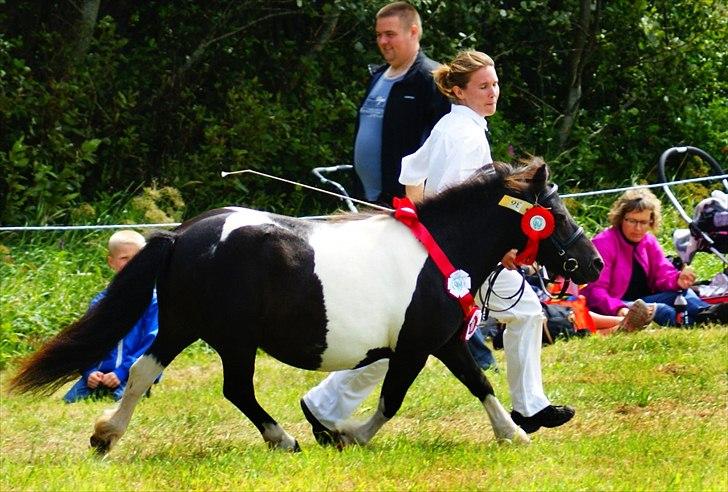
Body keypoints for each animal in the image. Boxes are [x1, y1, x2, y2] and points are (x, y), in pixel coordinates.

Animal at [9, 159, 604, 454]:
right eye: (554, 212)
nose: (593, 264)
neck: (443, 249)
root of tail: (181, 235)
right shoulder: (420, 344)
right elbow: (394, 399)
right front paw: (347, 436)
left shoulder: (441, 342)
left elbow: (473, 384)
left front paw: (514, 432)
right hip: (230, 338)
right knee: (234, 389)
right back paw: (286, 438)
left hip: (181, 326)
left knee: (141, 373)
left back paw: (105, 436)